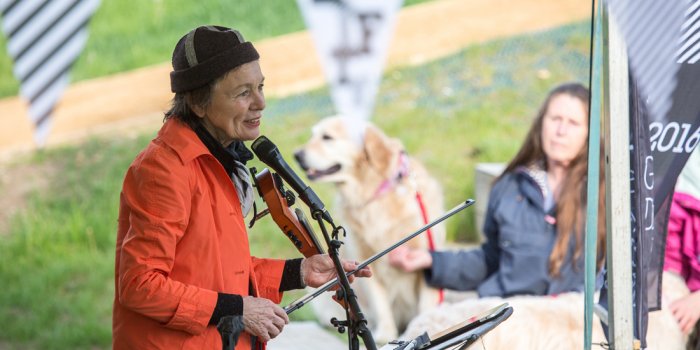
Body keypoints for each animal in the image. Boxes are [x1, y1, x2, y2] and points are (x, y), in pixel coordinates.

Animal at [292, 114, 446, 342]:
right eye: (313, 135)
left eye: (327, 137)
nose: (296, 155)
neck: (374, 194)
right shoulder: (364, 258)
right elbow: (379, 302)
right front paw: (384, 334)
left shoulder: (426, 256)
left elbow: (426, 303)